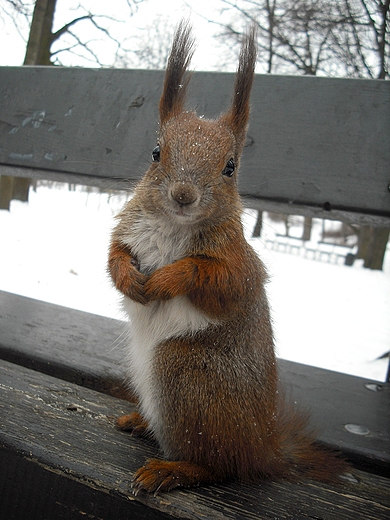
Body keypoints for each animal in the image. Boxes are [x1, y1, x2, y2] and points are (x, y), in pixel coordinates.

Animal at [108, 19, 348, 492]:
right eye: (156, 152)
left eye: (230, 166)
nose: (184, 195)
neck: (174, 226)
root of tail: (261, 446)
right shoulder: (127, 231)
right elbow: (113, 257)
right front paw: (129, 277)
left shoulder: (240, 263)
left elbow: (220, 282)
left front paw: (167, 279)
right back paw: (140, 422)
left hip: (186, 376)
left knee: (221, 468)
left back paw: (173, 468)